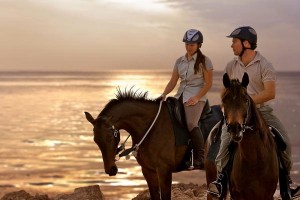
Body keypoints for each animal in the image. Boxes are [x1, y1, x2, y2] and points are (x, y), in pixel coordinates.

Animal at [85, 89, 221, 200]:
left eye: (109, 138)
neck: (152, 127)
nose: (111, 170)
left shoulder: (164, 170)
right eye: (95, 140)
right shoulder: (148, 170)